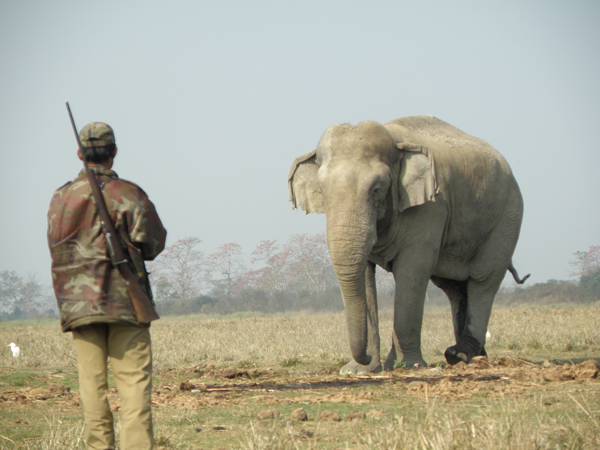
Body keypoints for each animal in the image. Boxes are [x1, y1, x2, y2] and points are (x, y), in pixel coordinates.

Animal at [288, 115, 528, 372]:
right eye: (321, 191)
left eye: (377, 189)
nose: (366, 357)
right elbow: (365, 274)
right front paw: (359, 370)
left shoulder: (431, 206)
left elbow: (413, 270)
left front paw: (407, 366)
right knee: (454, 288)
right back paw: (471, 356)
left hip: (507, 219)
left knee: (483, 280)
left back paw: (460, 354)